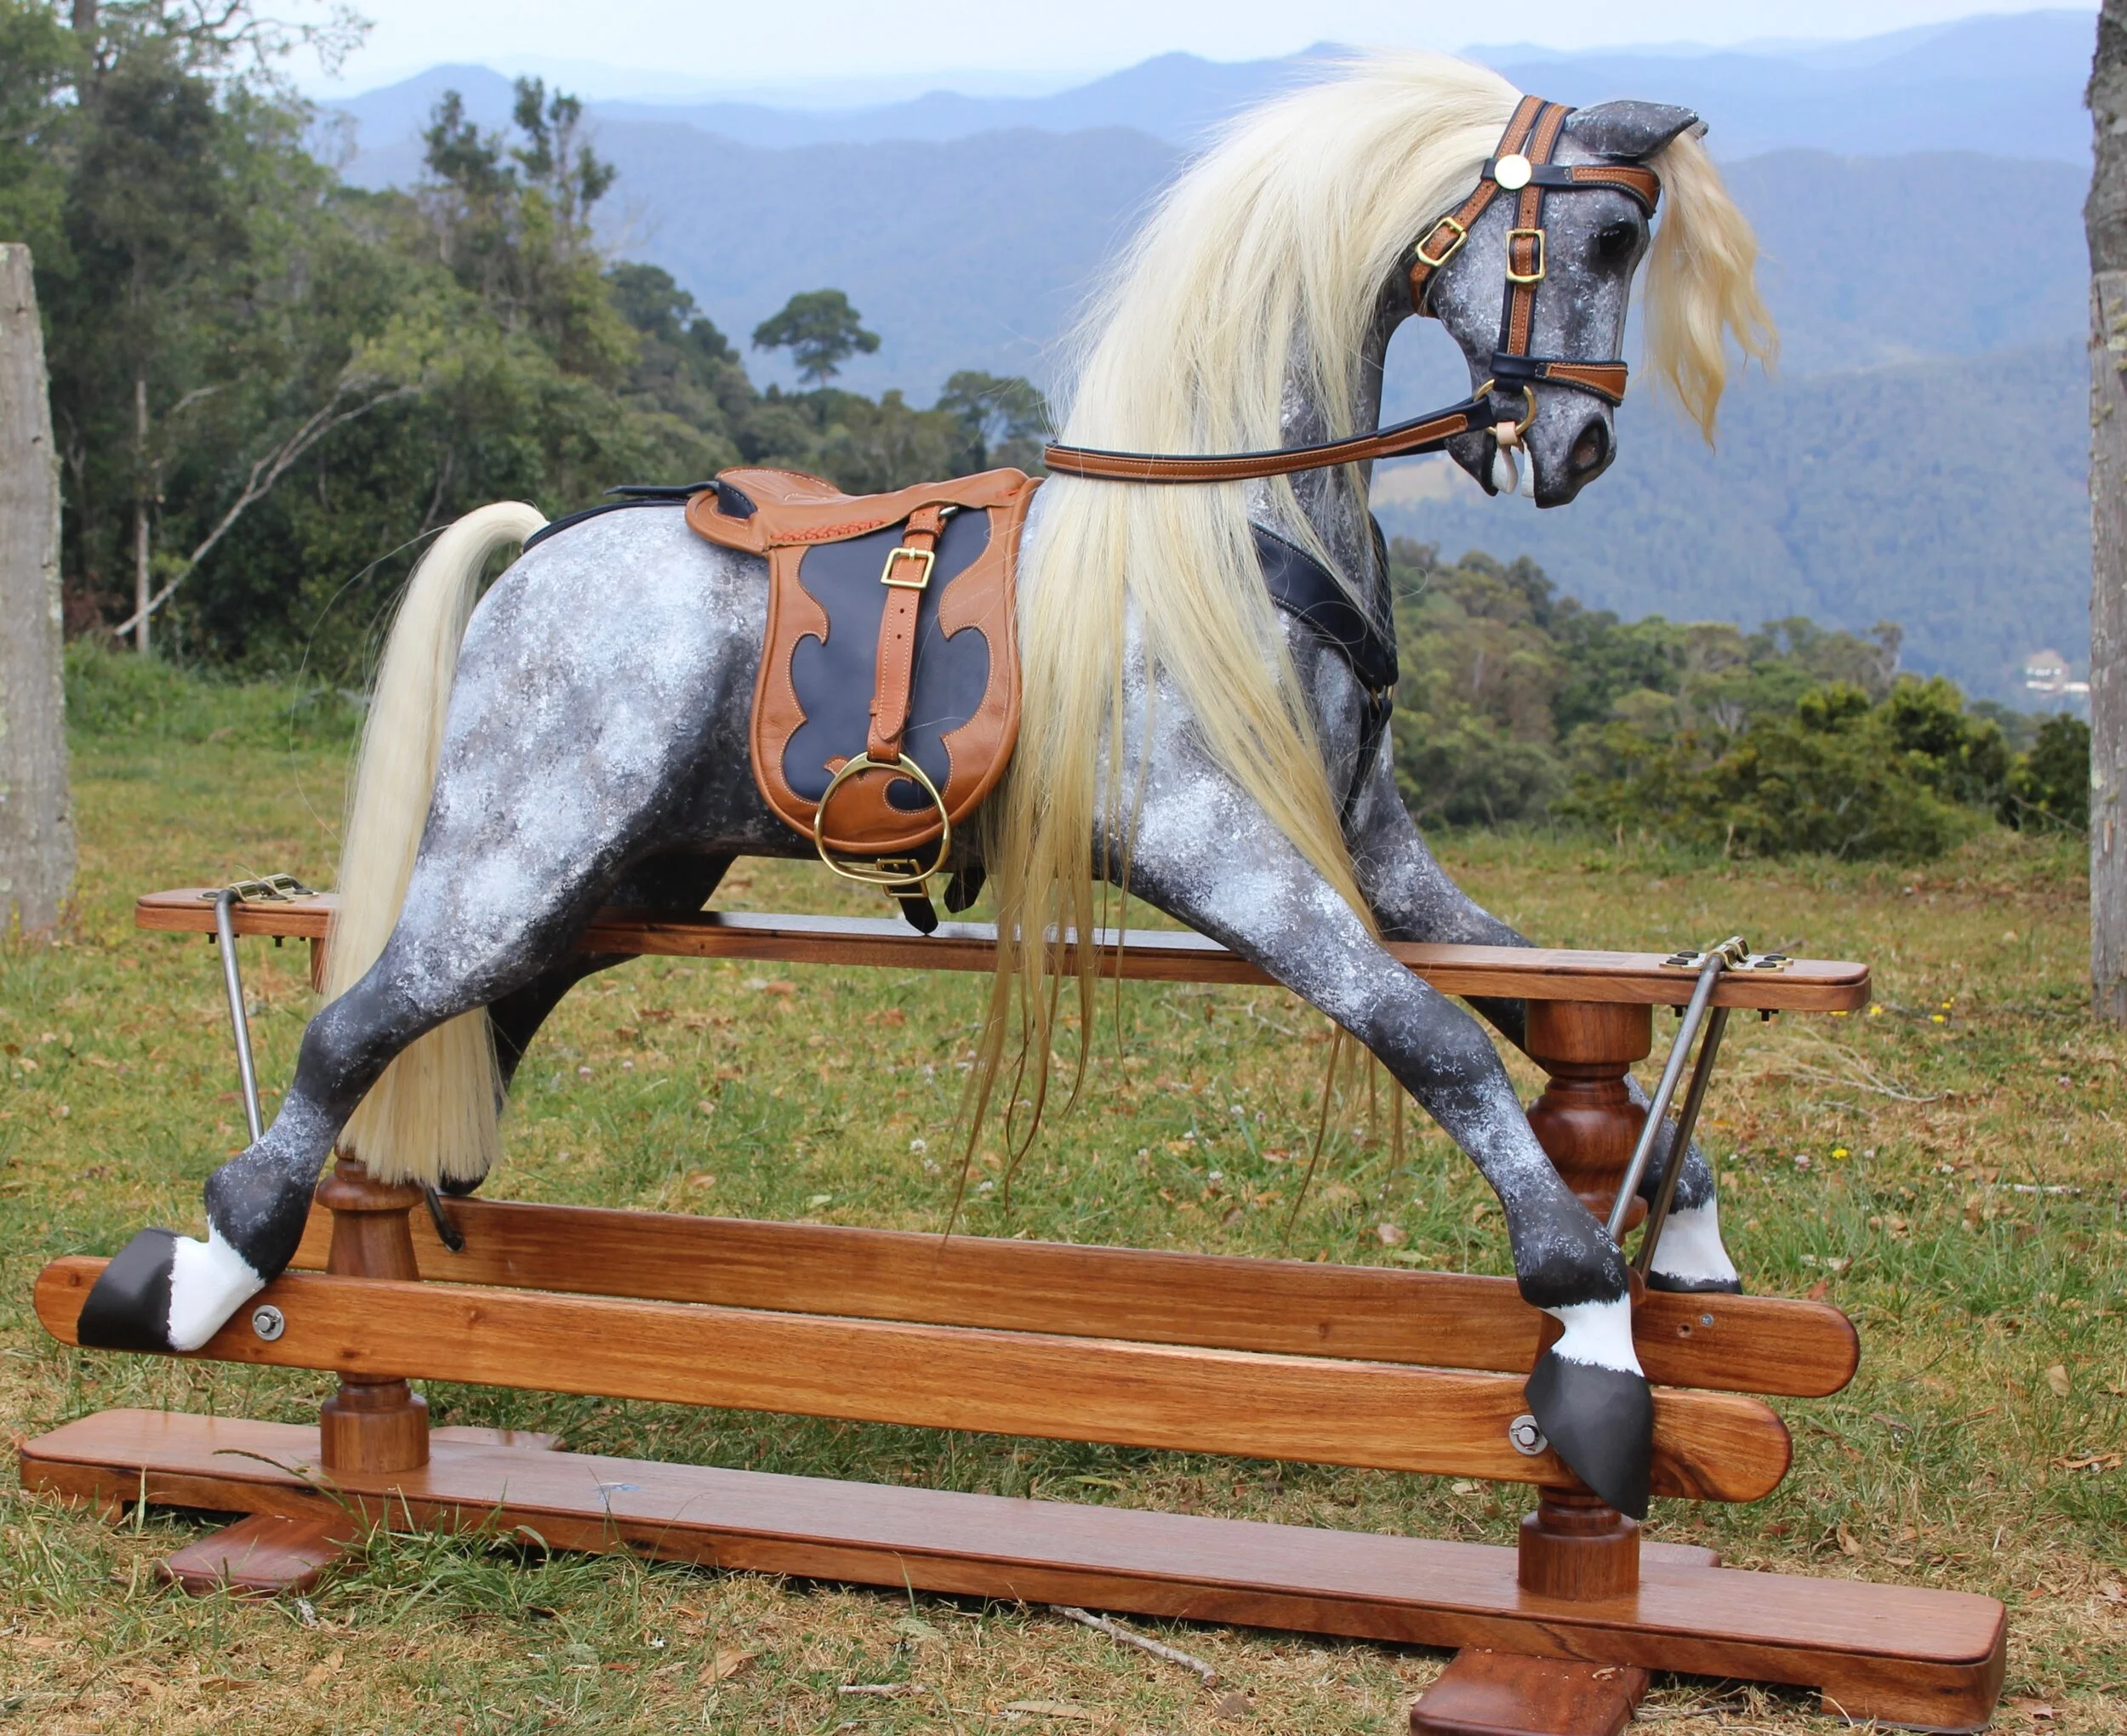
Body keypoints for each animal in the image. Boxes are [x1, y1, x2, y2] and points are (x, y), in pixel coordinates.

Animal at [80, 53, 1774, 1516]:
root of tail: (544, 553)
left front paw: (1683, 1226)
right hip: (513, 862)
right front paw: (1591, 1338)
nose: (1580, 444)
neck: (1231, 542)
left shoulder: (1375, 855)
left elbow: (1545, 1009)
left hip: (616, 884)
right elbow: (1439, 1042)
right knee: (356, 1024)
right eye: (1608, 230)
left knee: (465, 1033)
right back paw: (202, 1275)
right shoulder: (1224, 852)